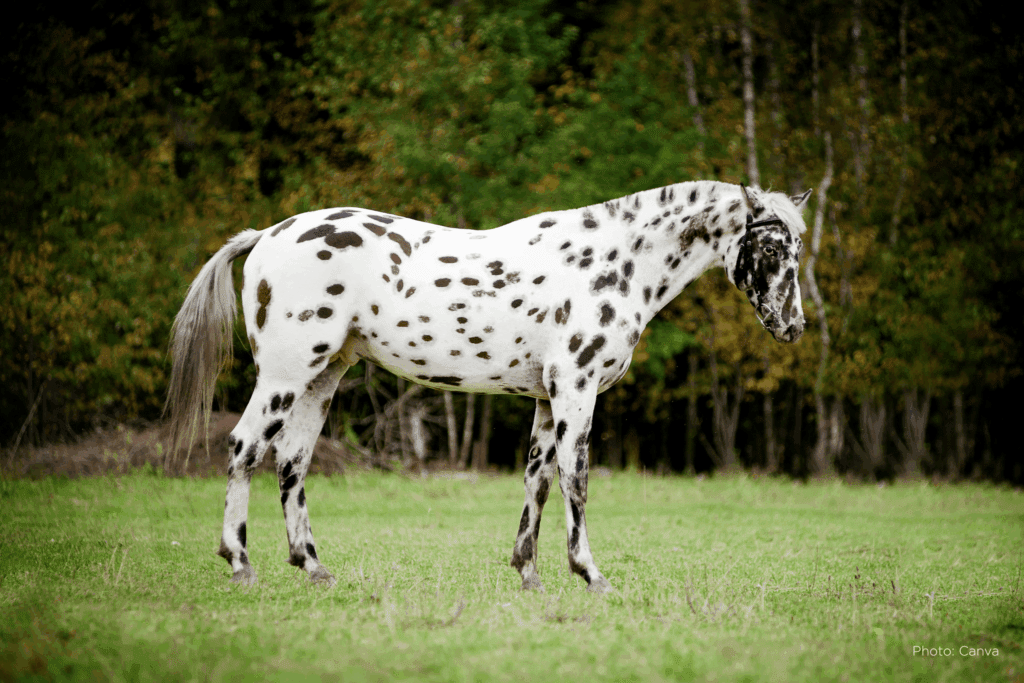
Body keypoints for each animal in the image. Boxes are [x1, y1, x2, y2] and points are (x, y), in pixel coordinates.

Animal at [166, 180, 811, 592]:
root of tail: (267, 235)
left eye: (798, 248)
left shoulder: (547, 399)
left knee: (292, 463)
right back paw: (240, 564)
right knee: (245, 448)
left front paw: (529, 572)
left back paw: (314, 568)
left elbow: (539, 482)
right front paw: (590, 574)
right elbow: (576, 479)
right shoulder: (575, 390)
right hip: (286, 373)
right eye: (771, 246)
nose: (792, 325)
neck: (612, 264)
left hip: (323, 377)